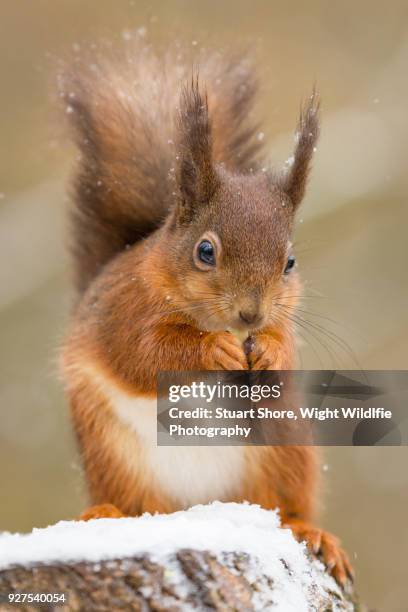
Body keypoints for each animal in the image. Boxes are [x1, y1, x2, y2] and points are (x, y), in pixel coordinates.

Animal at [59, 44, 352, 584]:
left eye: (290, 263)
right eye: (205, 251)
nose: (250, 315)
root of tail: (198, 507)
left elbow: (284, 350)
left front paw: (269, 350)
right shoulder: (121, 314)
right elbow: (143, 356)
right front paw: (212, 349)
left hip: (284, 447)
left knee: (285, 503)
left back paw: (311, 531)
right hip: (110, 452)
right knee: (130, 501)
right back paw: (104, 513)